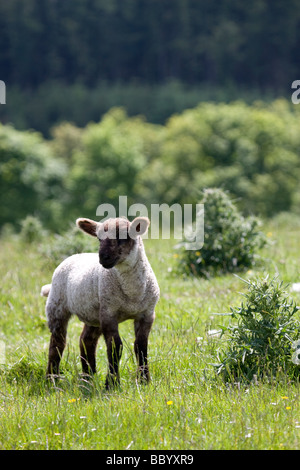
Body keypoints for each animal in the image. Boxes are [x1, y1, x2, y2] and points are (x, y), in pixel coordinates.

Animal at [41, 217, 162, 390]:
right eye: (99, 238)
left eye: (124, 236)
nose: (103, 257)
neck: (132, 293)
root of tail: (76, 255)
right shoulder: (109, 313)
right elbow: (115, 347)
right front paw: (112, 383)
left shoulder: (147, 314)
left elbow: (141, 346)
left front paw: (145, 380)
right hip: (57, 306)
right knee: (57, 343)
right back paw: (52, 378)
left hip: (93, 314)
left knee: (86, 341)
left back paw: (88, 377)